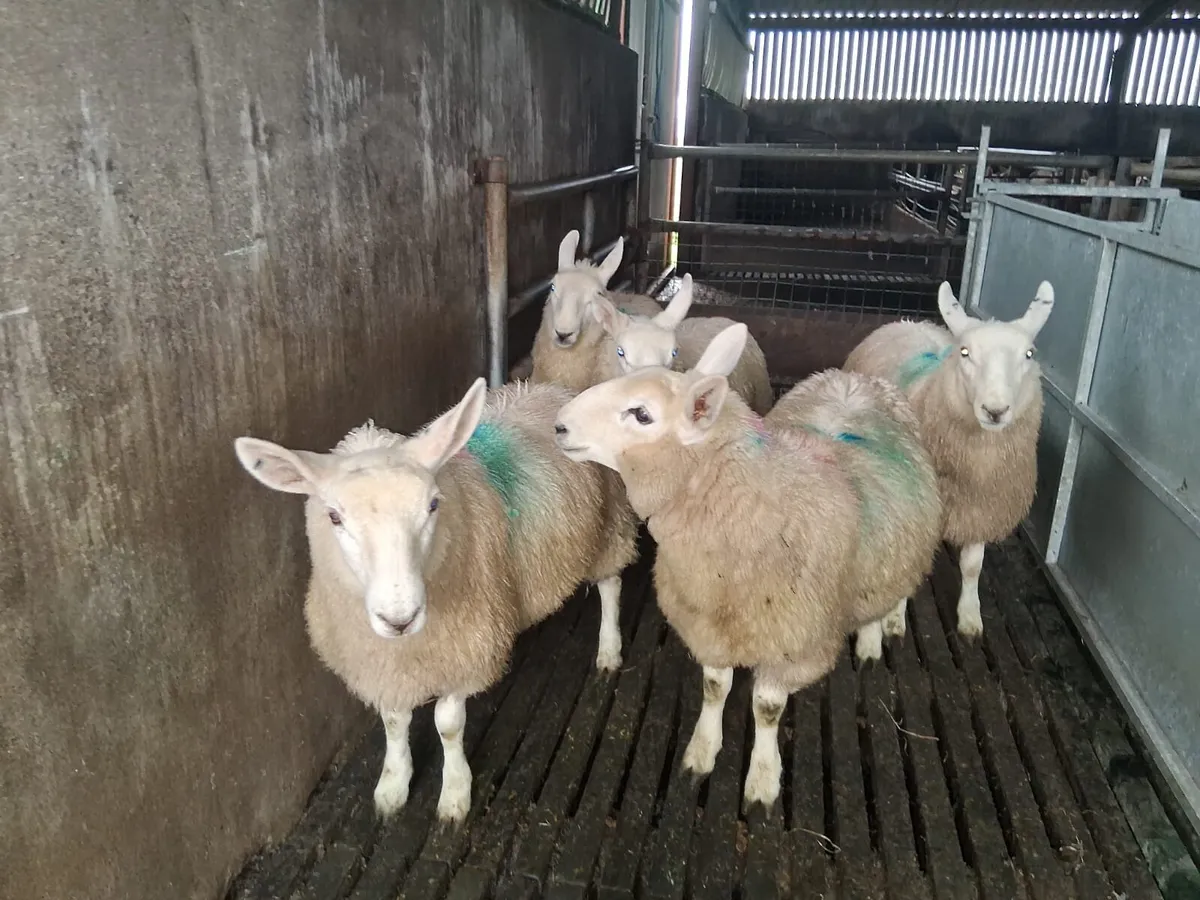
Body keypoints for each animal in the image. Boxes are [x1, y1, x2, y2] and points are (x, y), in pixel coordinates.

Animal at [233, 377, 638, 824]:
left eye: (432, 505)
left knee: (611, 585)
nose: (400, 618)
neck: (407, 646)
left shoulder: (466, 646)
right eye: (334, 517)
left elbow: (448, 724)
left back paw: (609, 648)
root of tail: (554, 390)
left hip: (610, 525)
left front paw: (455, 793)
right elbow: (394, 721)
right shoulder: (384, 662)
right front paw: (393, 785)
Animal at [552, 323, 940, 811]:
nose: (559, 424)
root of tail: (853, 379)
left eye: (641, 414)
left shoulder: (791, 643)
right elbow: (715, 688)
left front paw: (762, 779)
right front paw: (702, 751)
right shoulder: (709, 624)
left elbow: (767, 709)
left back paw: (880, 633)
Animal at [843, 280, 1055, 638]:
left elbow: (972, 567)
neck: (979, 462)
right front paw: (894, 620)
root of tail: (907, 321)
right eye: (965, 352)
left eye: (1029, 354)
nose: (995, 410)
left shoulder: (983, 508)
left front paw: (970, 616)